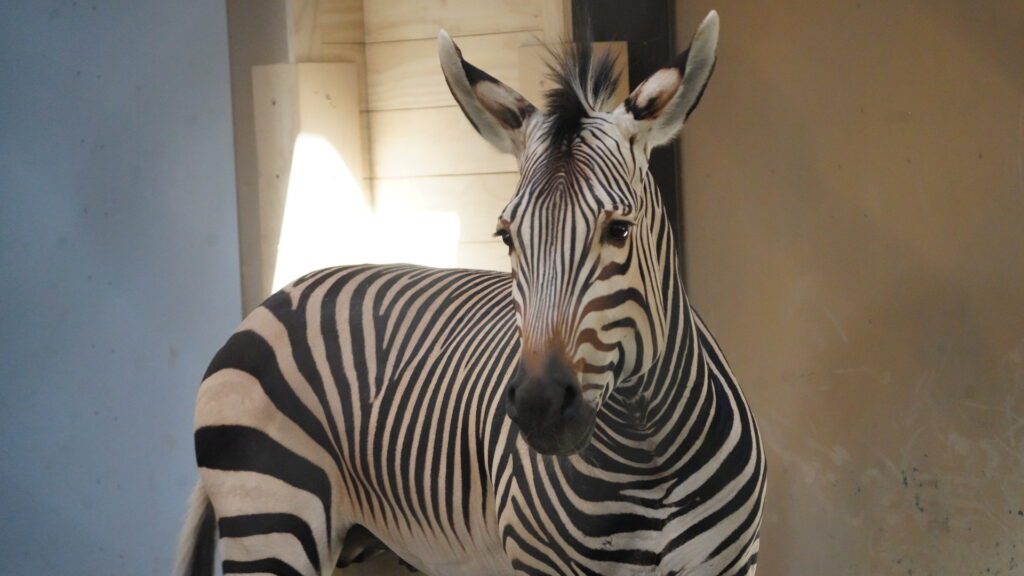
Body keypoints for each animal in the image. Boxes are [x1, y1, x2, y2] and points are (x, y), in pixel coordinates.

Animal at [176, 10, 764, 576]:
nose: (538, 407)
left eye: (618, 231)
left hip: (371, 549)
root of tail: (273, 301)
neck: (650, 452)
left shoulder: (735, 563)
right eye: (507, 237)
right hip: (271, 519)